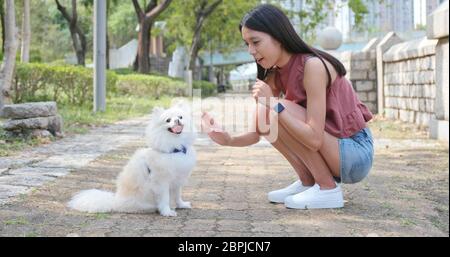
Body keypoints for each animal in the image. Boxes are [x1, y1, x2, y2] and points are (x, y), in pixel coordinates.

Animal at [66, 102, 195, 216]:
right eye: (168, 120)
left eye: (180, 117)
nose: (177, 120)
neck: (175, 148)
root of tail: (115, 201)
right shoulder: (161, 182)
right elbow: (165, 198)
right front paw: (167, 212)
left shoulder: (178, 180)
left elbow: (177, 195)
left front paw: (181, 205)